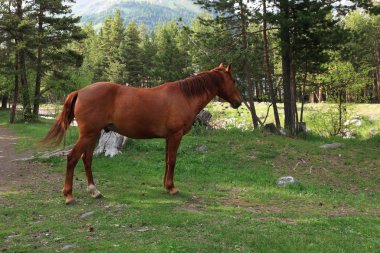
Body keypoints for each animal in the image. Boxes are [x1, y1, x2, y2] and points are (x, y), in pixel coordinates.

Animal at [43, 63, 242, 204]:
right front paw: (172, 188)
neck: (185, 96)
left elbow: (167, 161)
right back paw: (69, 196)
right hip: (87, 135)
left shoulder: (169, 137)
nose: (238, 102)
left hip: (92, 135)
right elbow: (172, 161)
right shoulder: (175, 135)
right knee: (72, 158)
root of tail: (80, 91)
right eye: (233, 81)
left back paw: (94, 191)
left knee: (87, 160)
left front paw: (166, 186)